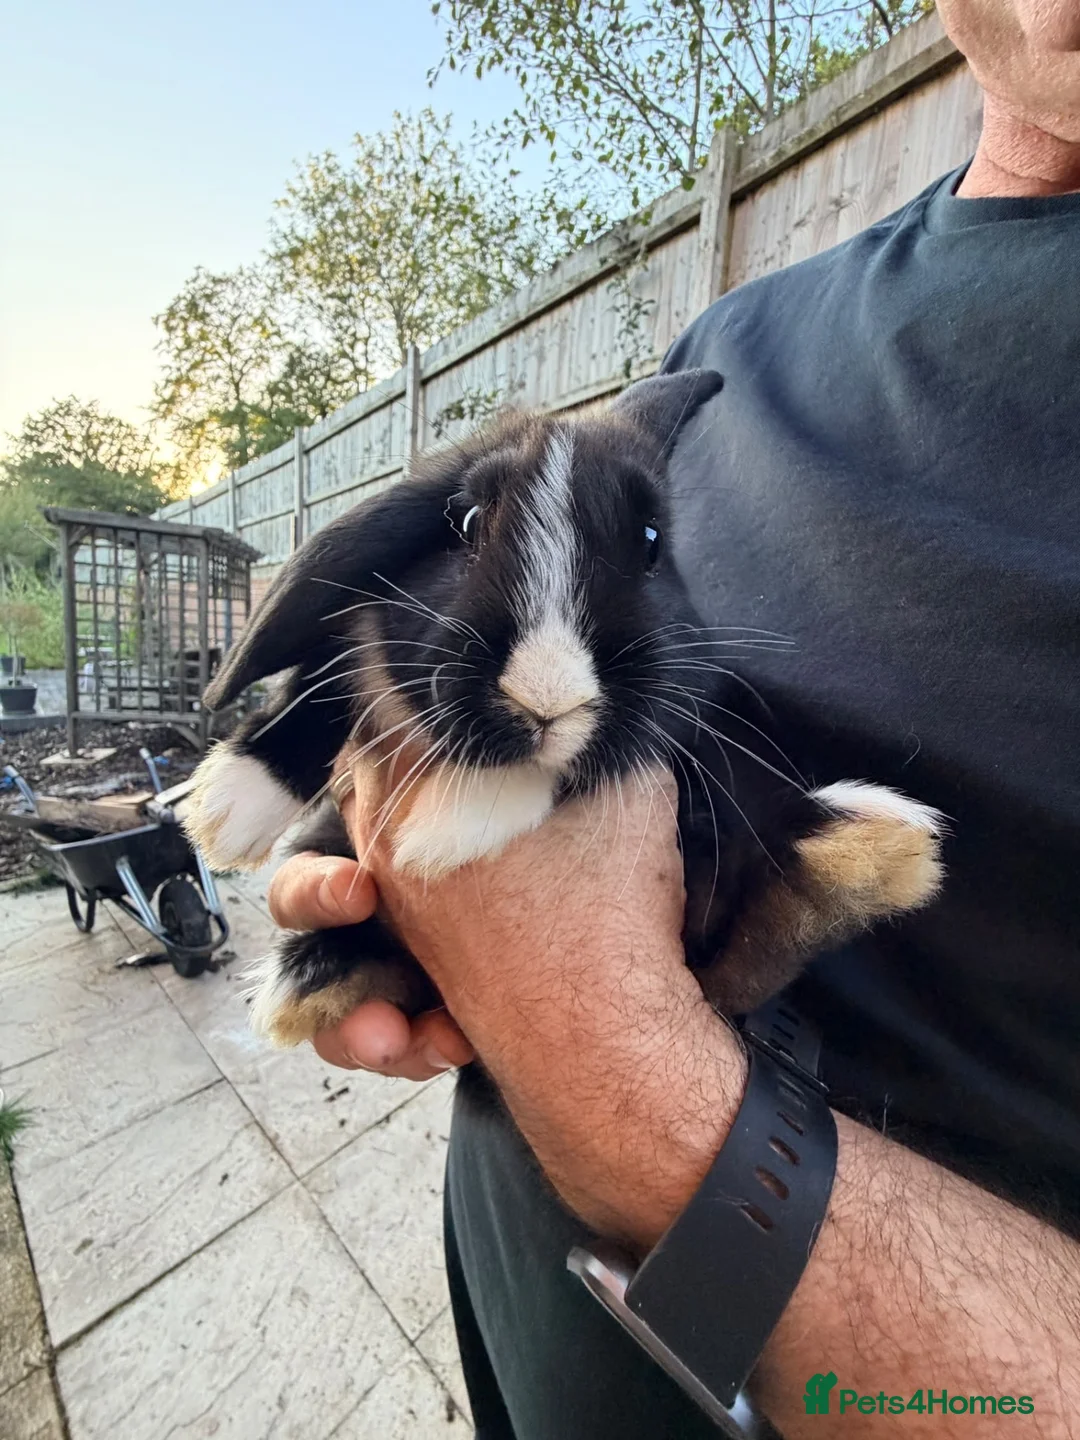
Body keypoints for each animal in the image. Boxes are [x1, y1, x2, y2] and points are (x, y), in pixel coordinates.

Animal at [184, 369, 944, 1046]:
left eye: (651, 543)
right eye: (466, 522)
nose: (548, 699)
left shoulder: (668, 710)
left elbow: (571, 767)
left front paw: (456, 822)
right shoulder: (363, 643)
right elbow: (315, 684)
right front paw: (227, 807)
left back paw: (859, 849)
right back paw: (308, 980)